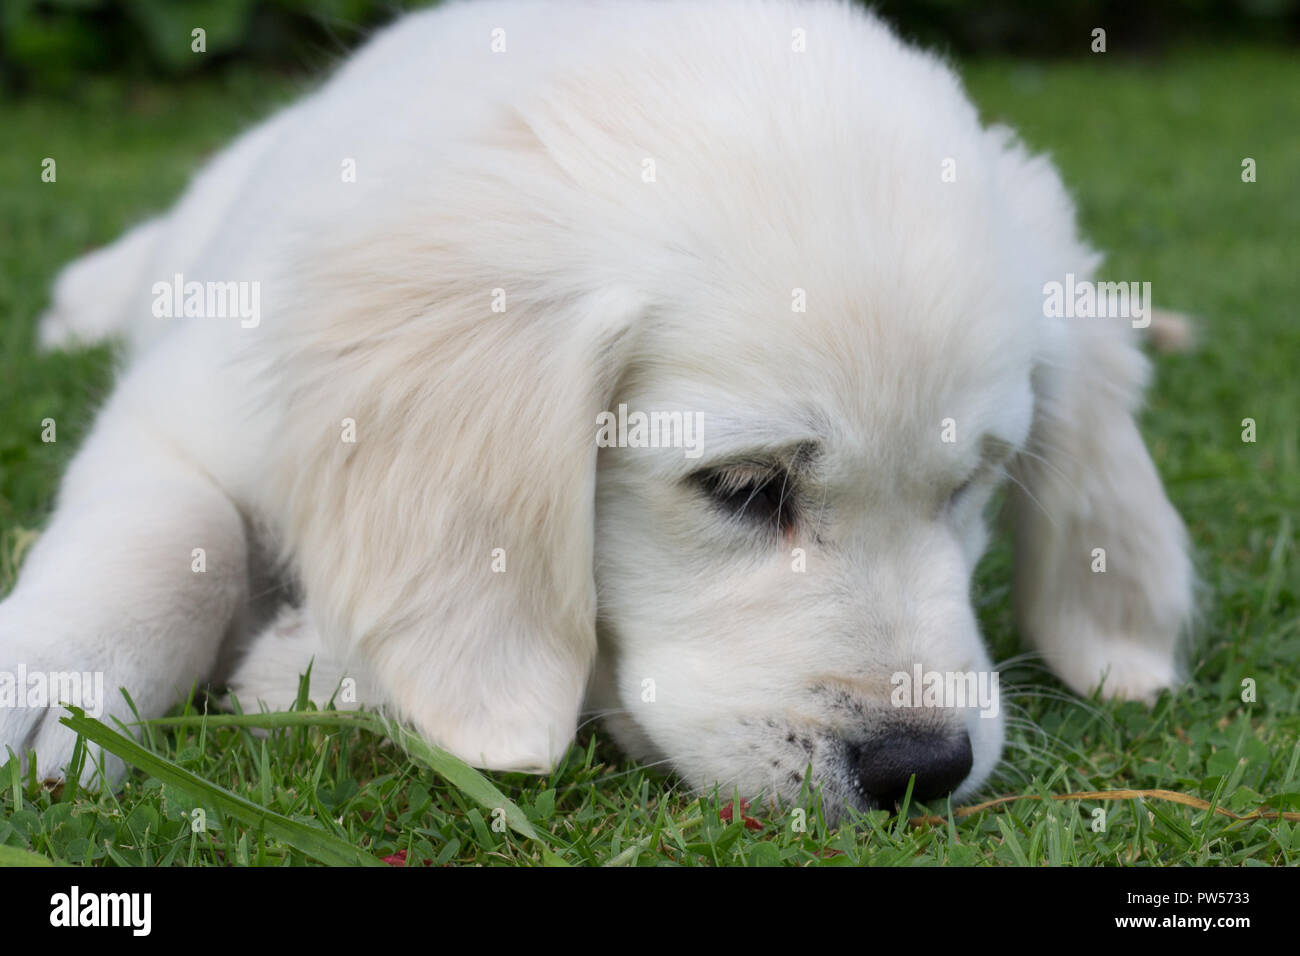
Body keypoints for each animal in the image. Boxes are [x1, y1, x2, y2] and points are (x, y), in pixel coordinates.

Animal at [0, 0, 1190, 822]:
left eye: (975, 482)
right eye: (743, 486)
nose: (920, 769)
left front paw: (313, 664)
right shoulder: (188, 405)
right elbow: (171, 534)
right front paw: (46, 684)